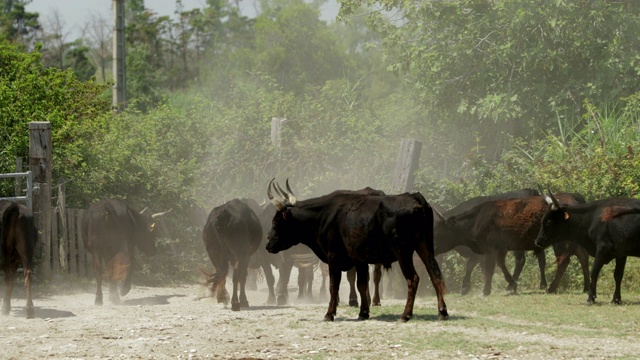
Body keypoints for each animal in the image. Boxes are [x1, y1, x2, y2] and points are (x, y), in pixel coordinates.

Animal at [262, 179, 448, 322]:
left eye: (276, 222)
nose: (268, 242)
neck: (324, 215)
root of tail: (415, 198)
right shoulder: (359, 259)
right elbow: (361, 284)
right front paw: (363, 312)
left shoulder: (333, 257)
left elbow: (334, 286)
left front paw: (329, 314)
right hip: (425, 247)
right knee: (435, 275)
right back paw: (442, 311)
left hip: (402, 252)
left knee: (413, 279)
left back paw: (406, 314)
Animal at [436, 193, 592, 294]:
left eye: (439, 232)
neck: (477, 219)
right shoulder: (500, 249)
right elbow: (501, 265)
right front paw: (512, 284)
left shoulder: (490, 250)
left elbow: (489, 269)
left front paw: (486, 290)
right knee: (582, 256)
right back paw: (586, 287)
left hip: (560, 243)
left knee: (564, 261)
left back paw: (551, 288)